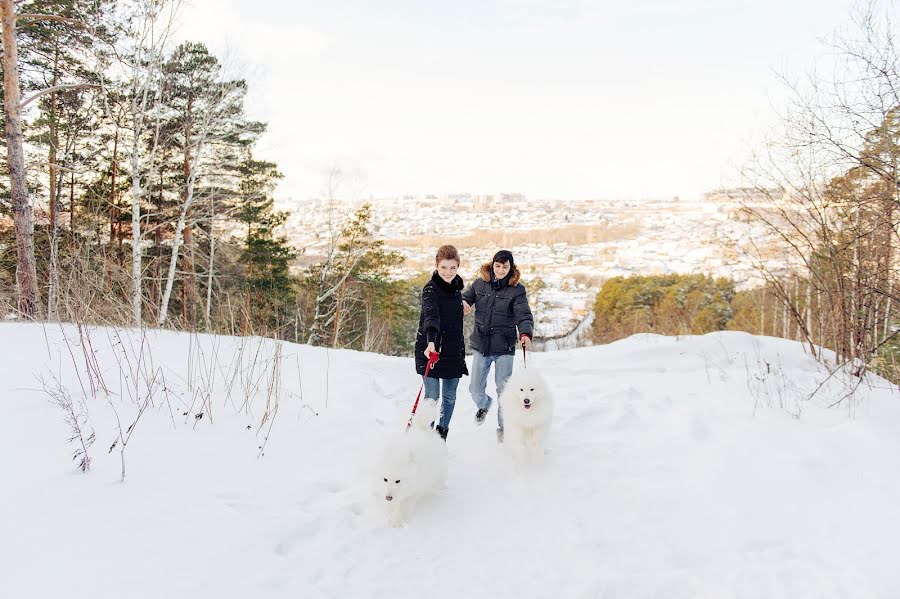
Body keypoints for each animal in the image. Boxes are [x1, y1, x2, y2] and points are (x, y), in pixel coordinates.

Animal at [372, 400, 446, 528]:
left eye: (398, 481)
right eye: (385, 479)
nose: (388, 497)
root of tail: (422, 428)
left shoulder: (413, 491)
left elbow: (403, 506)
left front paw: (397, 522)